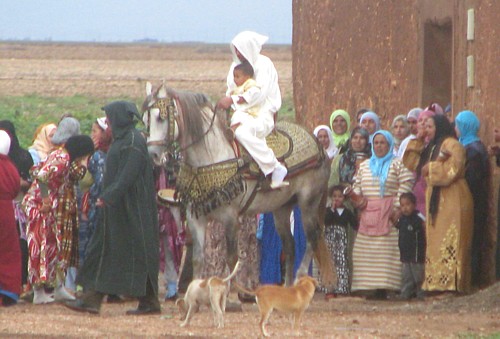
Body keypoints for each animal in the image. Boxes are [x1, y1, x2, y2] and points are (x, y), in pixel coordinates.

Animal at [143, 82, 334, 286]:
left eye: (161, 117)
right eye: (146, 120)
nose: (153, 154)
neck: (211, 155)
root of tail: (319, 147)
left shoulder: (230, 218)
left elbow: (231, 259)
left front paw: (231, 292)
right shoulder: (195, 218)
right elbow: (198, 259)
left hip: (308, 202)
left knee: (312, 238)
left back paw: (300, 276)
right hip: (282, 208)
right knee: (290, 246)